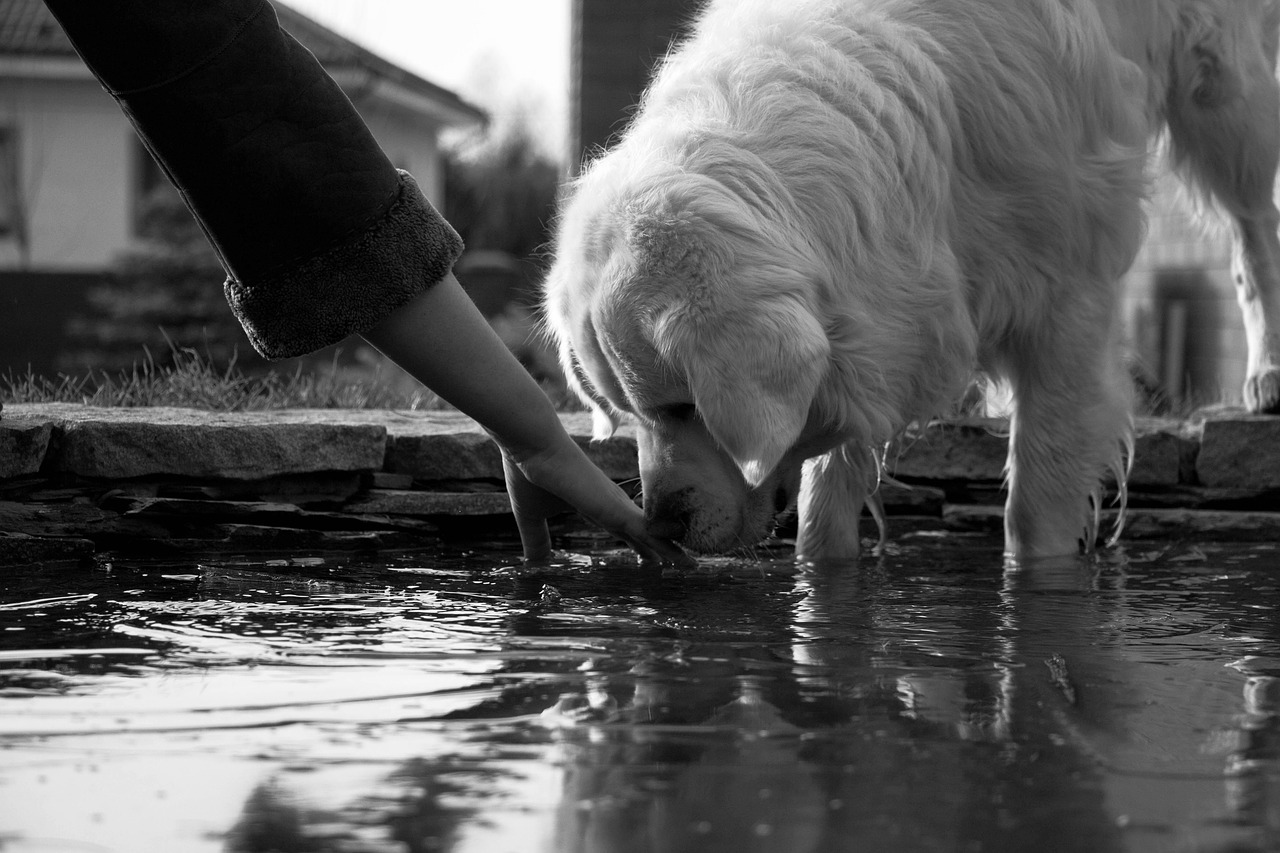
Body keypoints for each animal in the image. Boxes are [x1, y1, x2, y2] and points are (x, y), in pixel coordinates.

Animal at [545, 0, 1146, 558]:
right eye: (629, 413)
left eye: (687, 408)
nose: (663, 526)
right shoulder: (874, 323)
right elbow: (826, 499)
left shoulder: (1068, 301)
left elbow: (1037, 504)